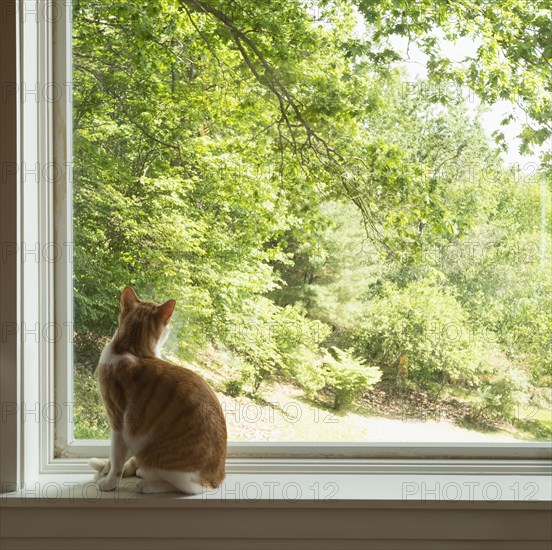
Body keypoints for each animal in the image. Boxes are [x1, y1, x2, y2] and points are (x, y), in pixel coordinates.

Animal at [89, 288, 227, 496]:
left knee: (186, 488)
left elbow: (117, 460)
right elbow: (114, 460)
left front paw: (109, 482)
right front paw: (105, 471)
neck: (132, 350)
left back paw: (148, 484)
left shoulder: (119, 424)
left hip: (169, 465)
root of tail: (217, 480)